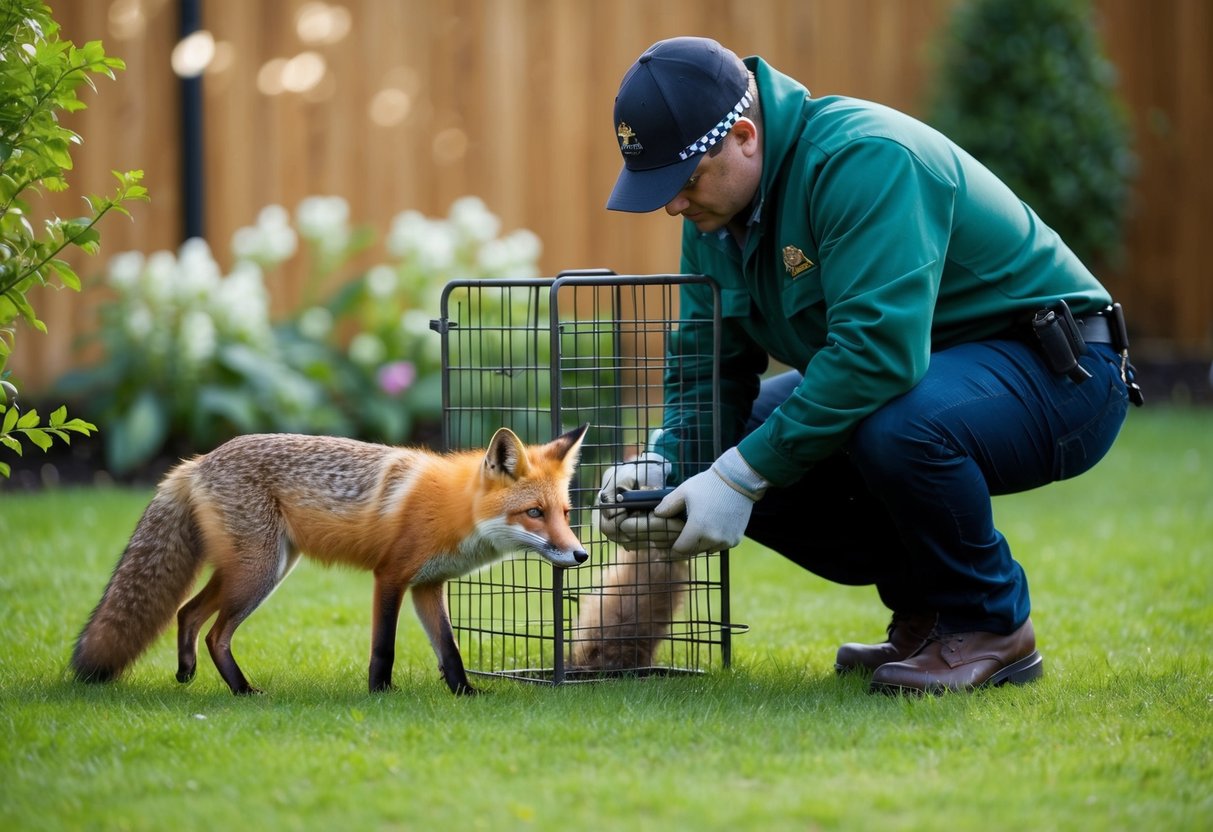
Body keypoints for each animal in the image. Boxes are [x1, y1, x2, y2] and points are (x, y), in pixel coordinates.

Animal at [71, 424, 590, 696]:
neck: (456, 511)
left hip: (251, 570)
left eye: (565, 514)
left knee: (187, 612)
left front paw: (465, 694)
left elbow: (450, 650)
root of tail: (196, 461)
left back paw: (186, 674)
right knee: (216, 632)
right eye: (534, 513)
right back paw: (243, 691)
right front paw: (380, 694)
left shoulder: (428, 586)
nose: (581, 554)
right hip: (258, 574)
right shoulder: (391, 576)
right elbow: (384, 647)